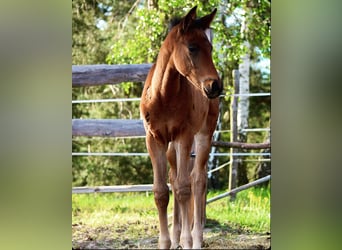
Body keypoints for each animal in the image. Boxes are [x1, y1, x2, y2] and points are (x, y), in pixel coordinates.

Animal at [140, 6, 222, 250]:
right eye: (192, 48)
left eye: (210, 48)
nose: (215, 85)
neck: (163, 95)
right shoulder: (154, 139)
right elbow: (161, 191)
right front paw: (165, 242)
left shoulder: (184, 136)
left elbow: (185, 189)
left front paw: (187, 241)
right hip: (170, 148)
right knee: (175, 179)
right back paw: (176, 236)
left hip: (203, 135)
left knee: (197, 180)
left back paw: (196, 238)